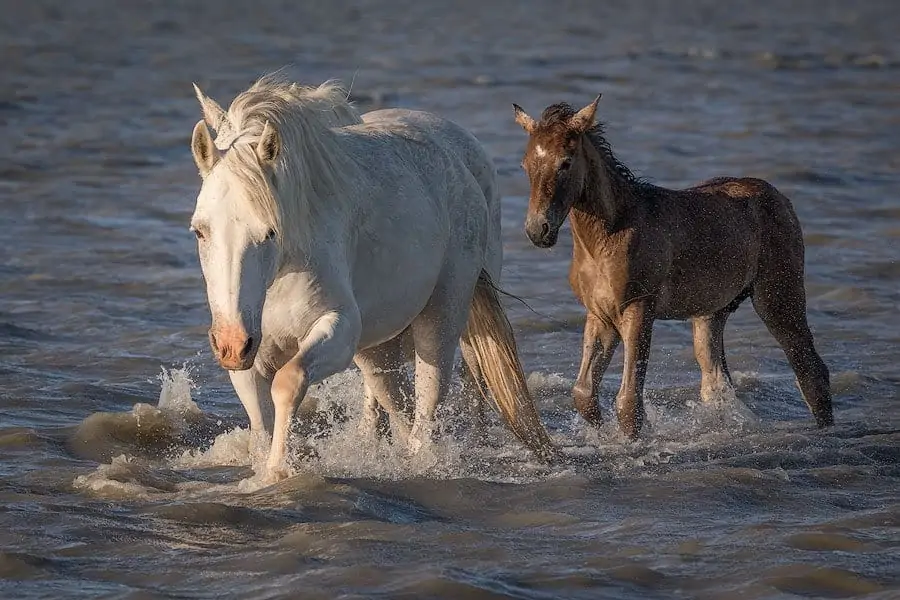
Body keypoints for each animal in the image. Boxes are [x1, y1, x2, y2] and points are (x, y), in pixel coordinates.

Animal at [190, 75, 556, 480]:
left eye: (269, 232)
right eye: (200, 231)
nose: (231, 343)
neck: (279, 275)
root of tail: (463, 162)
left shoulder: (339, 327)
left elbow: (289, 382)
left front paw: (280, 470)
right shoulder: (250, 354)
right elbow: (260, 417)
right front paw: (267, 471)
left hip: (443, 315)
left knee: (431, 401)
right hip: (377, 346)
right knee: (392, 402)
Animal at [510, 96, 832, 438]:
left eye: (566, 162)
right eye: (525, 165)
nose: (538, 230)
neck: (607, 237)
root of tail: (781, 198)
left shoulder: (639, 308)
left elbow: (628, 401)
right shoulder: (600, 313)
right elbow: (584, 393)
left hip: (778, 296)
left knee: (810, 370)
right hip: (710, 312)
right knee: (716, 381)